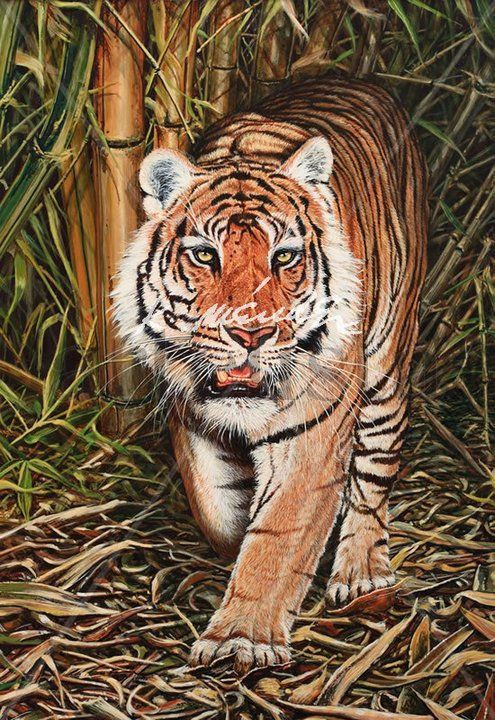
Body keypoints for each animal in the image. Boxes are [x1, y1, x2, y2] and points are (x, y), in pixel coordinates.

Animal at [114, 74, 428, 673]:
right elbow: (215, 505)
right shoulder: (190, 414)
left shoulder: (314, 431)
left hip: (387, 365)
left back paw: (361, 573)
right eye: (204, 255)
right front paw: (235, 533)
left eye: (284, 256)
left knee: (376, 470)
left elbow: (278, 535)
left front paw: (242, 638)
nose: (251, 335)